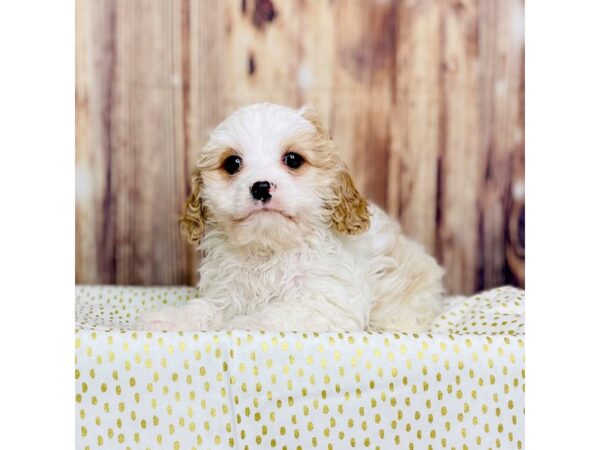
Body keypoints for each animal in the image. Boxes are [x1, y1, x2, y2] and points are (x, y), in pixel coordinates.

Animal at [137, 103, 446, 332]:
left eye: (293, 159)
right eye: (232, 163)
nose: (261, 186)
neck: (268, 250)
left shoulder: (323, 304)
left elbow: (270, 316)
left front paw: (238, 325)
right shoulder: (228, 293)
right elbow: (206, 308)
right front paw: (167, 319)